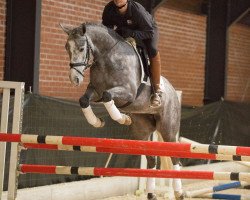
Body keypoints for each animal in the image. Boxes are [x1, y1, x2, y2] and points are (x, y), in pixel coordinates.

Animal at [61, 22, 184, 199]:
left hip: (168, 129)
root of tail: (173, 91)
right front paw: (97, 122)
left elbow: (108, 96)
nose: (74, 79)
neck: (107, 58)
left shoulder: (128, 92)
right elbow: (84, 100)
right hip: (141, 132)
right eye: (66, 47)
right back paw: (151, 193)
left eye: (81, 48)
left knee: (175, 157)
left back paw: (179, 192)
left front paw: (122, 118)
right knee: (152, 160)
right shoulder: (95, 91)